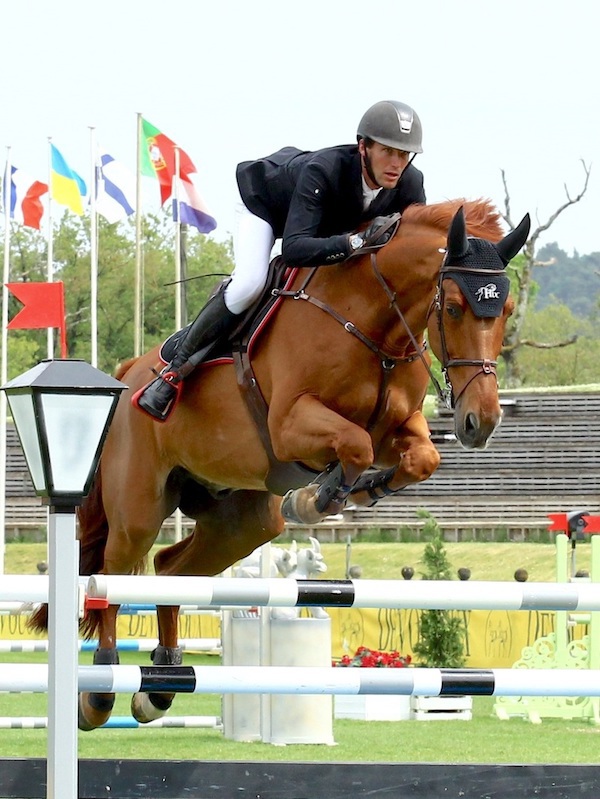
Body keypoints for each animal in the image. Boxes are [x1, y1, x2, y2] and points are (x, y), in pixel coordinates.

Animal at [29, 195, 528, 732]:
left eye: (507, 310)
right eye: (453, 308)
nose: (480, 421)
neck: (374, 322)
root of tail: (127, 374)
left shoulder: (397, 428)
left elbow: (420, 458)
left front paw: (350, 492)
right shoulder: (291, 423)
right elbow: (354, 445)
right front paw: (314, 498)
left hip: (240, 522)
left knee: (169, 567)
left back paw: (159, 684)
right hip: (138, 508)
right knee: (111, 574)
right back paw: (100, 690)